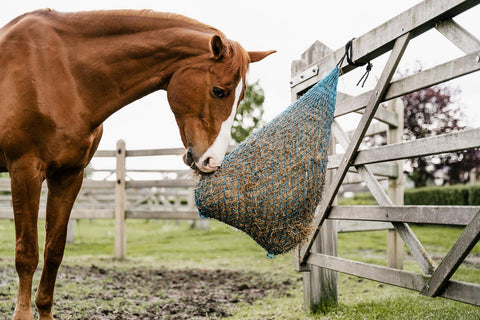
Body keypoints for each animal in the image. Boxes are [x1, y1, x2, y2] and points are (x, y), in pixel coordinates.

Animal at [0, 8, 274, 318]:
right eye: (219, 91)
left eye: (240, 97)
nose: (211, 160)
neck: (62, 73)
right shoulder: (24, 171)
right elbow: (27, 253)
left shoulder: (69, 177)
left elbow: (54, 251)